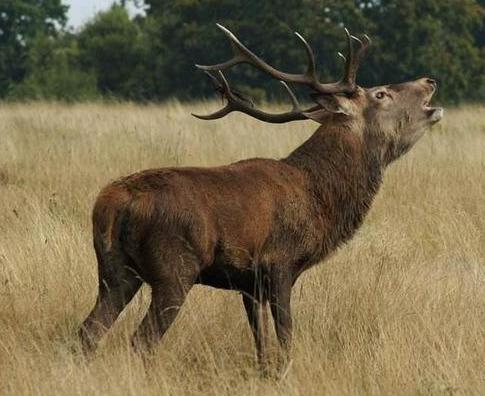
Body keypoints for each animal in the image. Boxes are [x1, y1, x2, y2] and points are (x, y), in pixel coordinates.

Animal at [78, 24, 442, 372]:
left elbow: (261, 343)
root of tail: (112, 204)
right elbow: (285, 336)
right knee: (142, 339)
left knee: (89, 330)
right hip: (174, 268)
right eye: (381, 93)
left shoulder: (248, 283)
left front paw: (264, 373)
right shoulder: (279, 262)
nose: (429, 80)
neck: (320, 200)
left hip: (115, 269)